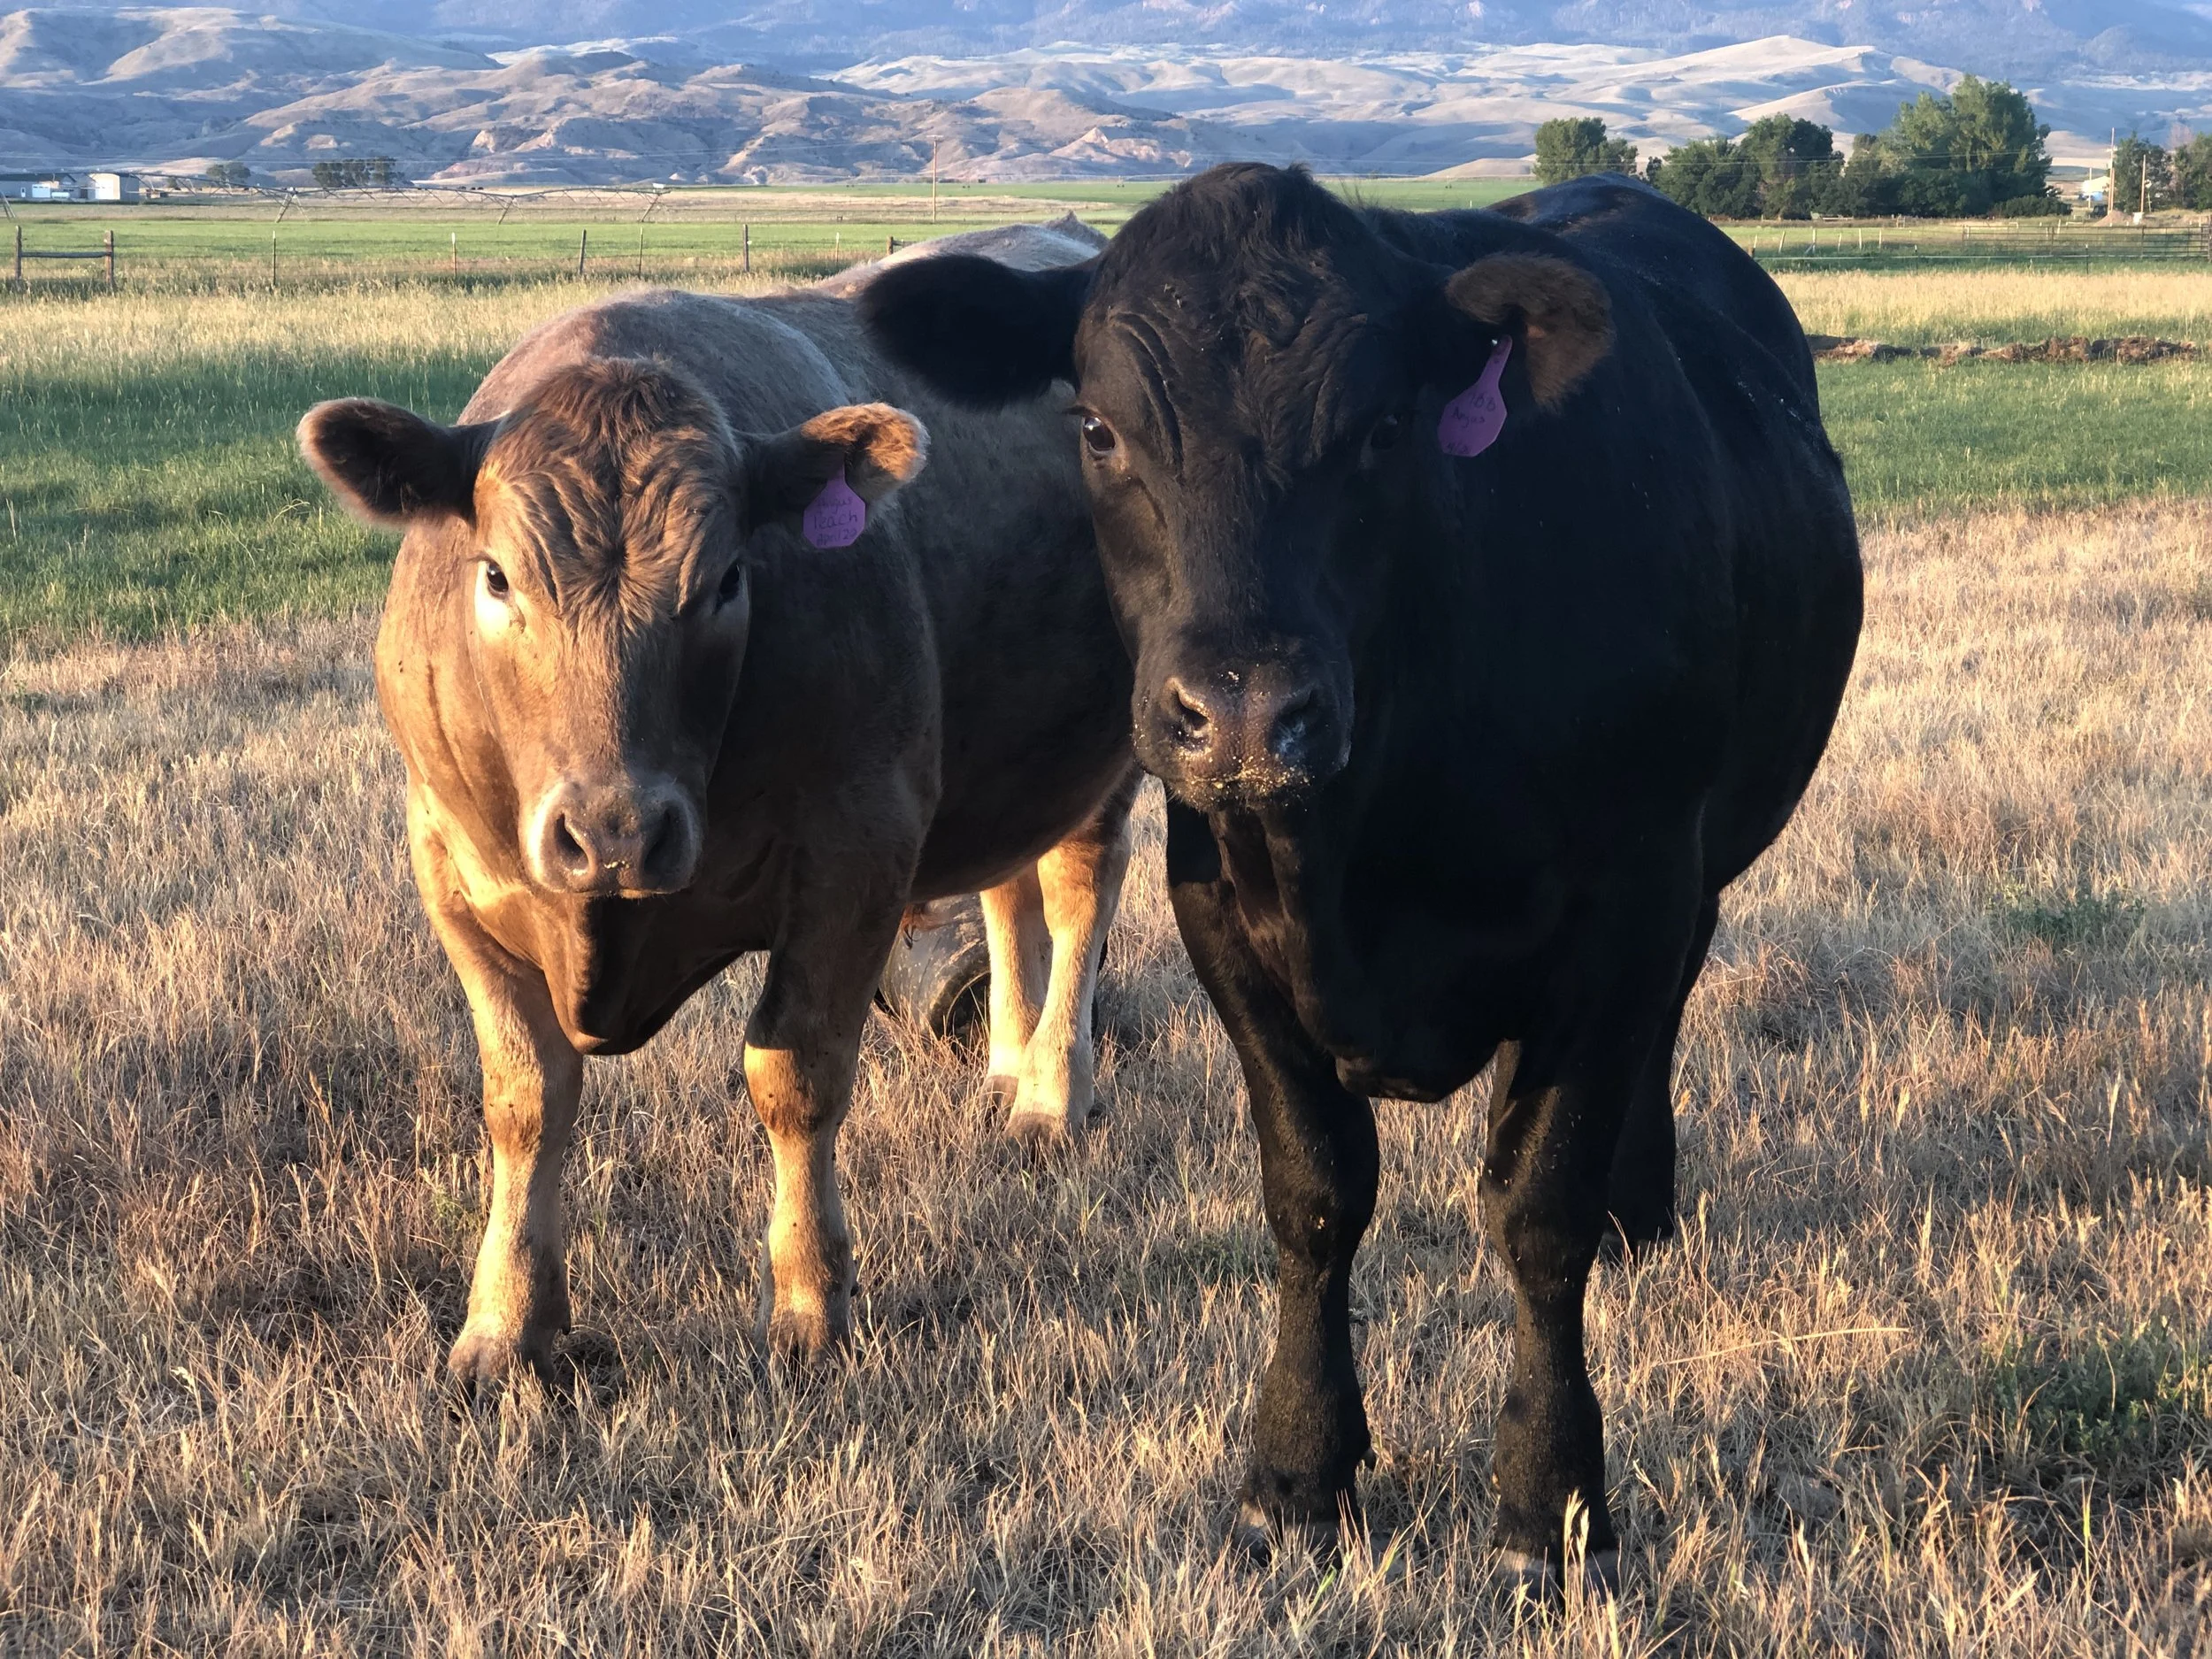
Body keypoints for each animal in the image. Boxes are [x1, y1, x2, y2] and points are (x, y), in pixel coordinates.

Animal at [298, 241, 1138, 1382]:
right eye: (497, 576)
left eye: (729, 579)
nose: (613, 830)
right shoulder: (451, 867)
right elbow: (524, 1099)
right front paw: (505, 1322)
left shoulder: (858, 849)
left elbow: (795, 1074)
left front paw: (810, 1301)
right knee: (1011, 895)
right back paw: (1007, 1070)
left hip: (1109, 746)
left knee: (1078, 887)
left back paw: (1053, 1095)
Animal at [861, 165, 1862, 1583]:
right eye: (1098, 427)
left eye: (1386, 425)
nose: (1244, 715)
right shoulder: (1223, 909)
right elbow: (1314, 1192)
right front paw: (1295, 1470)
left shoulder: (1627, 901)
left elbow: (1538, 1207)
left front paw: (1550, 1503)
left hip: (1701, 868)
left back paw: (1639, 1201)